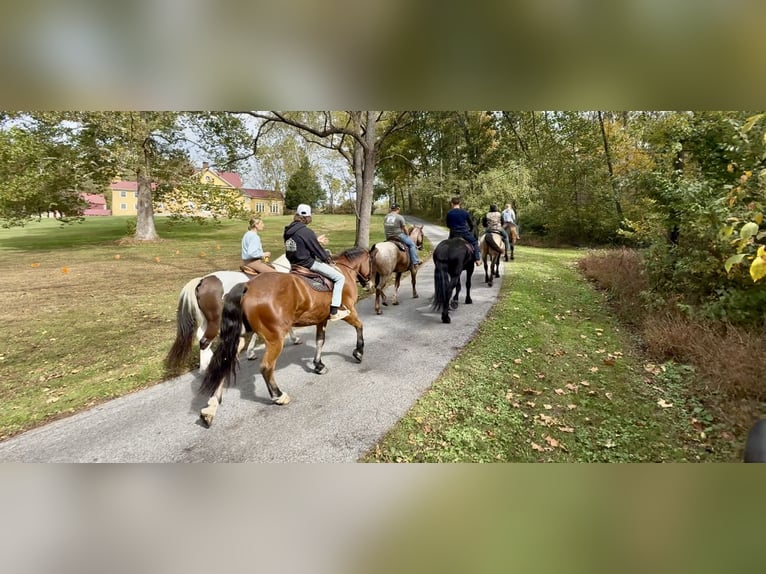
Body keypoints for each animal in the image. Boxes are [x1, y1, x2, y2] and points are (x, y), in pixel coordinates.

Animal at [164, 254, 301, 373]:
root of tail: (202, 281)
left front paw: (250, 353)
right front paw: (295, 339)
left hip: (207, 320)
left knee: (201, 335)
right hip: (216, 321)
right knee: (204, 340)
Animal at [197, 247, 372, 427]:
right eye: (371, 261)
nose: (369, 283)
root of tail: (248, 286)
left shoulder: (321, 320)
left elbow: (320, 341)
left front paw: (318, 365)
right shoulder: (349, 312)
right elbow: (359, 326)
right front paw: (358, 352)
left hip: (241, 337)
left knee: (225, 363)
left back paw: (210, 408)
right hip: (275, 339)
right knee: (266, 367)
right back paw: (278, 396)